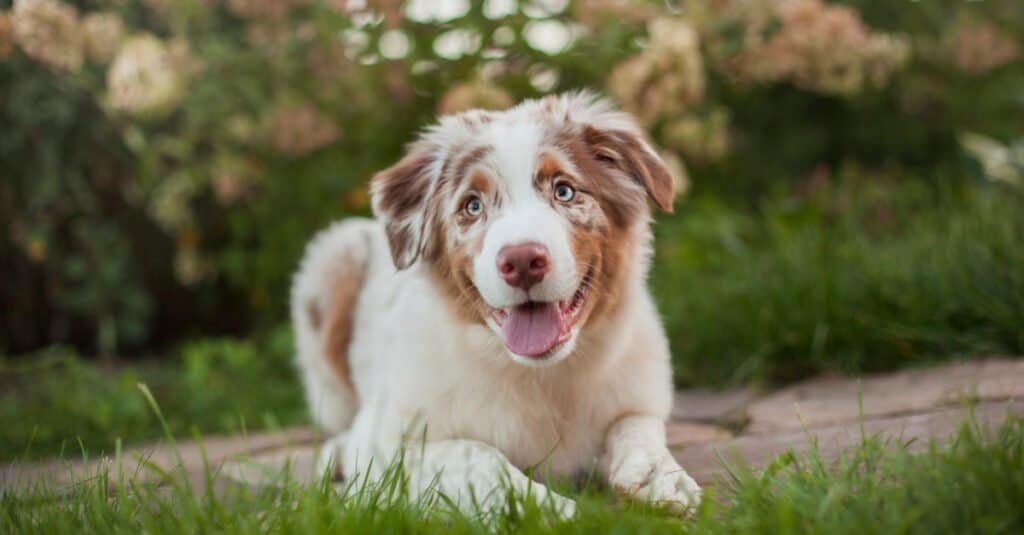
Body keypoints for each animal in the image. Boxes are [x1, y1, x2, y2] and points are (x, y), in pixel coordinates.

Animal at [292, 90, 700, 512]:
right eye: (472, 205)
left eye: (564, 190)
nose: (521, 262)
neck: (541, 376)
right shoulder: (388, 444)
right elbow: (479, 456)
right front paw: (552, 510)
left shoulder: (637, 397)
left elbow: (636, 425)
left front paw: (661, 476)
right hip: (334, 258)